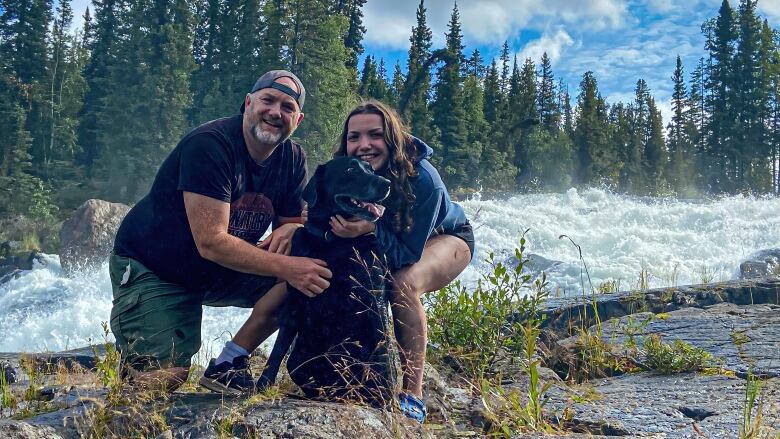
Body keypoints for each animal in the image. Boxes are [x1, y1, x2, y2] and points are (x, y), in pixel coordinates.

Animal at [258, 156, 400, 408]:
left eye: (370, 169)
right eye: (350, 169)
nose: (387, 183)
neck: (331, 240)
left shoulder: (373, 298)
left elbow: (382, 350)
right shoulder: (295, 302)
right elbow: (278, 349)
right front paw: (262, 384)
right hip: (298, 360)